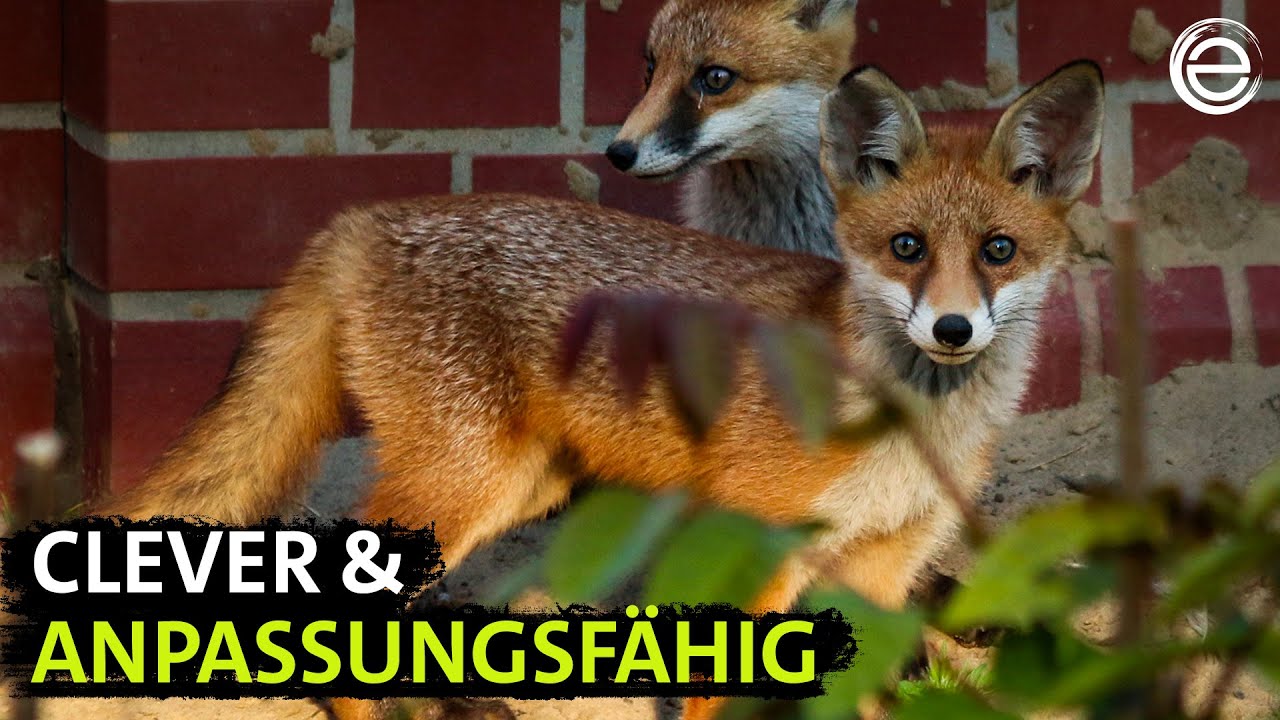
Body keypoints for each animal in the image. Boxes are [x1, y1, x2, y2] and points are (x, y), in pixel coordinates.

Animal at [92, 61, 1104, 720]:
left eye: (998, 251)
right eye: (907, 249)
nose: (952, 330)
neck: (905, 428)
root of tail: (365, 216)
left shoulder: (882, 571)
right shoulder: (752, 549)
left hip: (521, 483)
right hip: (464, 481)